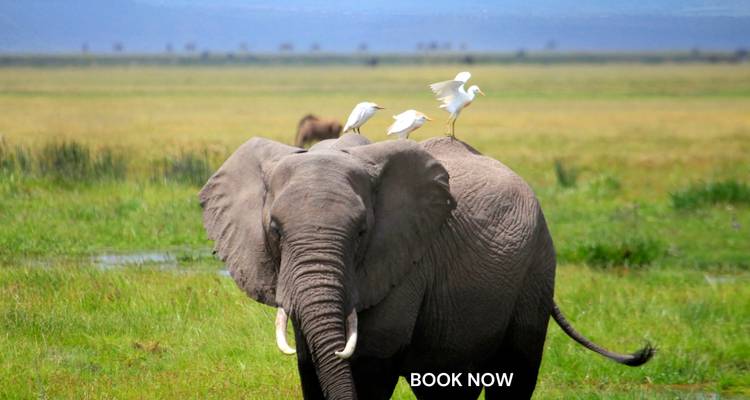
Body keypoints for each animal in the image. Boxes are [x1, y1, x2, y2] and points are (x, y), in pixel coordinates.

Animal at [199, 133, 653, 399]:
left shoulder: (405, 261)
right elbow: (311, 364)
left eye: (362, 232)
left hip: (537, 266)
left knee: (515, 369)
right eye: (274, 230)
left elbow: (372, 364)